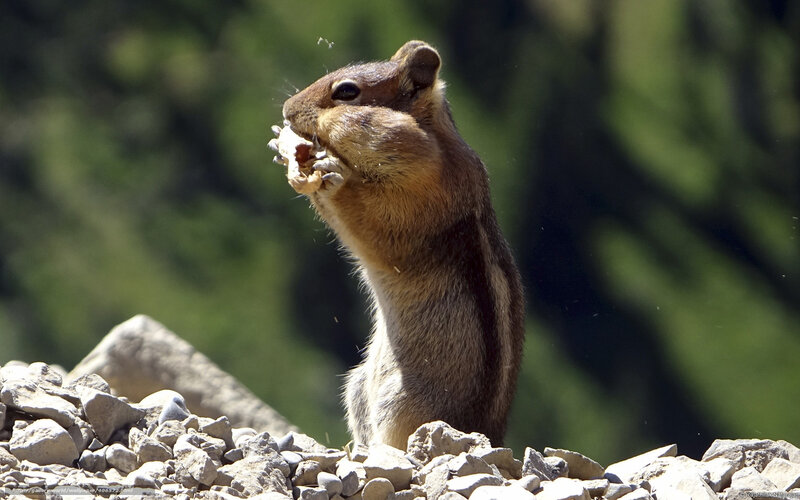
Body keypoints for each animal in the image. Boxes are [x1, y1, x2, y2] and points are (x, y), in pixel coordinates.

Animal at [270, 40, 525, 449]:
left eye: (347, 92)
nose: (287, 110)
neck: (435, 143)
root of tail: (493, 437)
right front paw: (286, 148)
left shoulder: (423, 196)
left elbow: (376, 224)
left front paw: (331, 175)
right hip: (359, 384)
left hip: (404, 402)